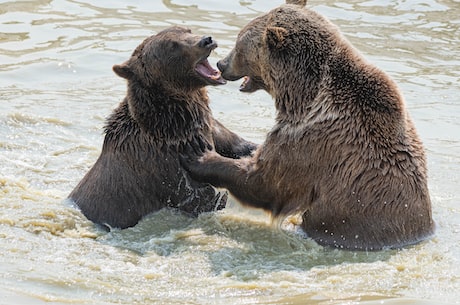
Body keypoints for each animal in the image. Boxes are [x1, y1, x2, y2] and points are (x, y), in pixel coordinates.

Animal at [67, 27, 255, 229]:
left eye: (187, 30)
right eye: (173, 45)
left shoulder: (210, 127)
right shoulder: (166, 167)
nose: (206, 40)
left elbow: (236, 144)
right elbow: (202, 197)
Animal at [181, 1, 434, 249]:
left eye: (239, 44)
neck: (301, 95)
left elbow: (265, 181)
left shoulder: (310, 140)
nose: (221, 63)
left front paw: (200, 157)